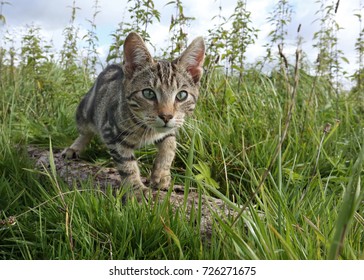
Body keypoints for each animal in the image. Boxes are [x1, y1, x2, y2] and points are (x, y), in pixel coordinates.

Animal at [62, 32, 205, 195]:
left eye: (181, 95)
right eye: (148, 93)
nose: (166, 116)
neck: (146, 128)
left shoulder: (169, 130)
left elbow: (169, 147)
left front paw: (161, 175)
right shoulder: (111, 133)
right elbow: (127, 165)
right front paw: (136, 190)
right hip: (84, 112)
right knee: (85, 132)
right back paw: (74, 147)